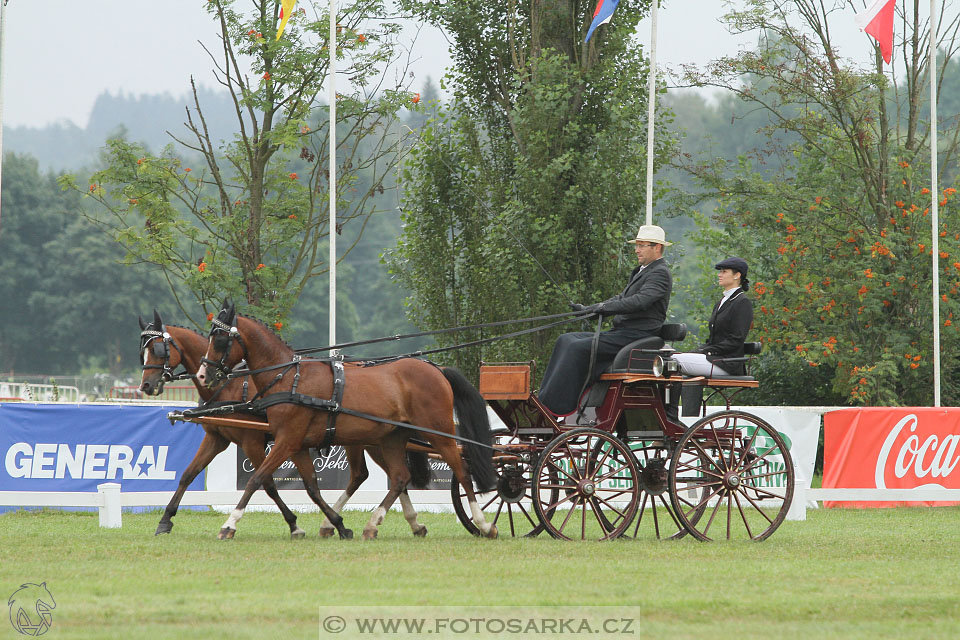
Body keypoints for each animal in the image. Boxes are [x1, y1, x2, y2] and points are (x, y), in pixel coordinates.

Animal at [139, 312, 432, 536]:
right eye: (143, 351)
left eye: (158, 350)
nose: (146, 386)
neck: (230, 386)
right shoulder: (217, 438)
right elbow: (188, 474)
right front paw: (165, 521)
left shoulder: (254, 441)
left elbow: (266, 482)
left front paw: (293, 525)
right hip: (374, 440)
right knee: (387, 476)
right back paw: (411, 523)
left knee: (379, 475)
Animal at [193, 304, 496, 540]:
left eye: (220, 339)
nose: (202, 375)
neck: (290, 378)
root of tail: (437, 370)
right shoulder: (296, 444)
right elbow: (311, 486)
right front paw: (337, 525)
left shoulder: (286, 440)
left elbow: (257, 479)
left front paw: (230, 524)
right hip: (391, 438)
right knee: (399, 477)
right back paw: (375, 526)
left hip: (439, 432)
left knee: (461, 471)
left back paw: (483, 524)